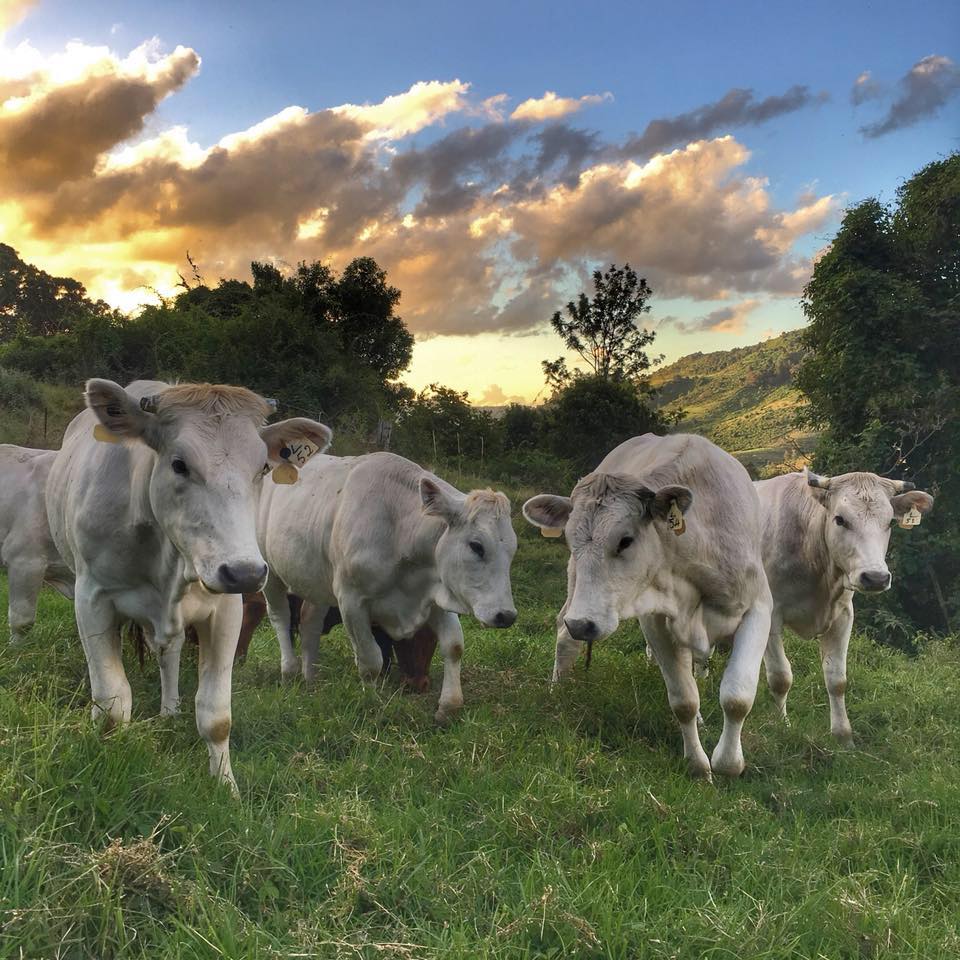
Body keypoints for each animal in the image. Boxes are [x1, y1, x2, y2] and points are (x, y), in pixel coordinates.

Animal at [45, 379, 331, 791]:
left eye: (262, 467)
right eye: (179, 464)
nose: (245, 573)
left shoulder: (225, 611)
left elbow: (216, 715)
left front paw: (226, 787)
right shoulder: (92, 599)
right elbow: (113, 705)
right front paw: (107, 766)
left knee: (170, 651)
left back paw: (170, 709)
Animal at [256, 451, 518, 722]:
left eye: (512, 549)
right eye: (476, 546)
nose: (506, 615)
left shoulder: (435, 592)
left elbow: (454, 645)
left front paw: (449, 706)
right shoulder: (351, 600)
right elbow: (371, 660)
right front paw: (372, 703)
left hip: (316, 581)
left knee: (310, 622)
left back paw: (310, 679)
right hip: (270, 572)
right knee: (281, 617)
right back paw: (289, 671)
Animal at [523, 433, 773, 779]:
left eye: (625, 540)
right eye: (570, 540)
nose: (583, 624)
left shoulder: (758, 607)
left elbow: (737, 697)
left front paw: (728, 764)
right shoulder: (656, 622)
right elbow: (684, 700)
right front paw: (698, 766)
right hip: (575, 591)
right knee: (564, 636)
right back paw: (558, 687)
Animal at [756, 468, 934, 746]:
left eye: (890, 522)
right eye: (840, 519)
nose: (876, 577)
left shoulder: (842, 615)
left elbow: (837, 680)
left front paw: (843, 737)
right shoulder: (771, 616)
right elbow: (780, 677)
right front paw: (781, 727)